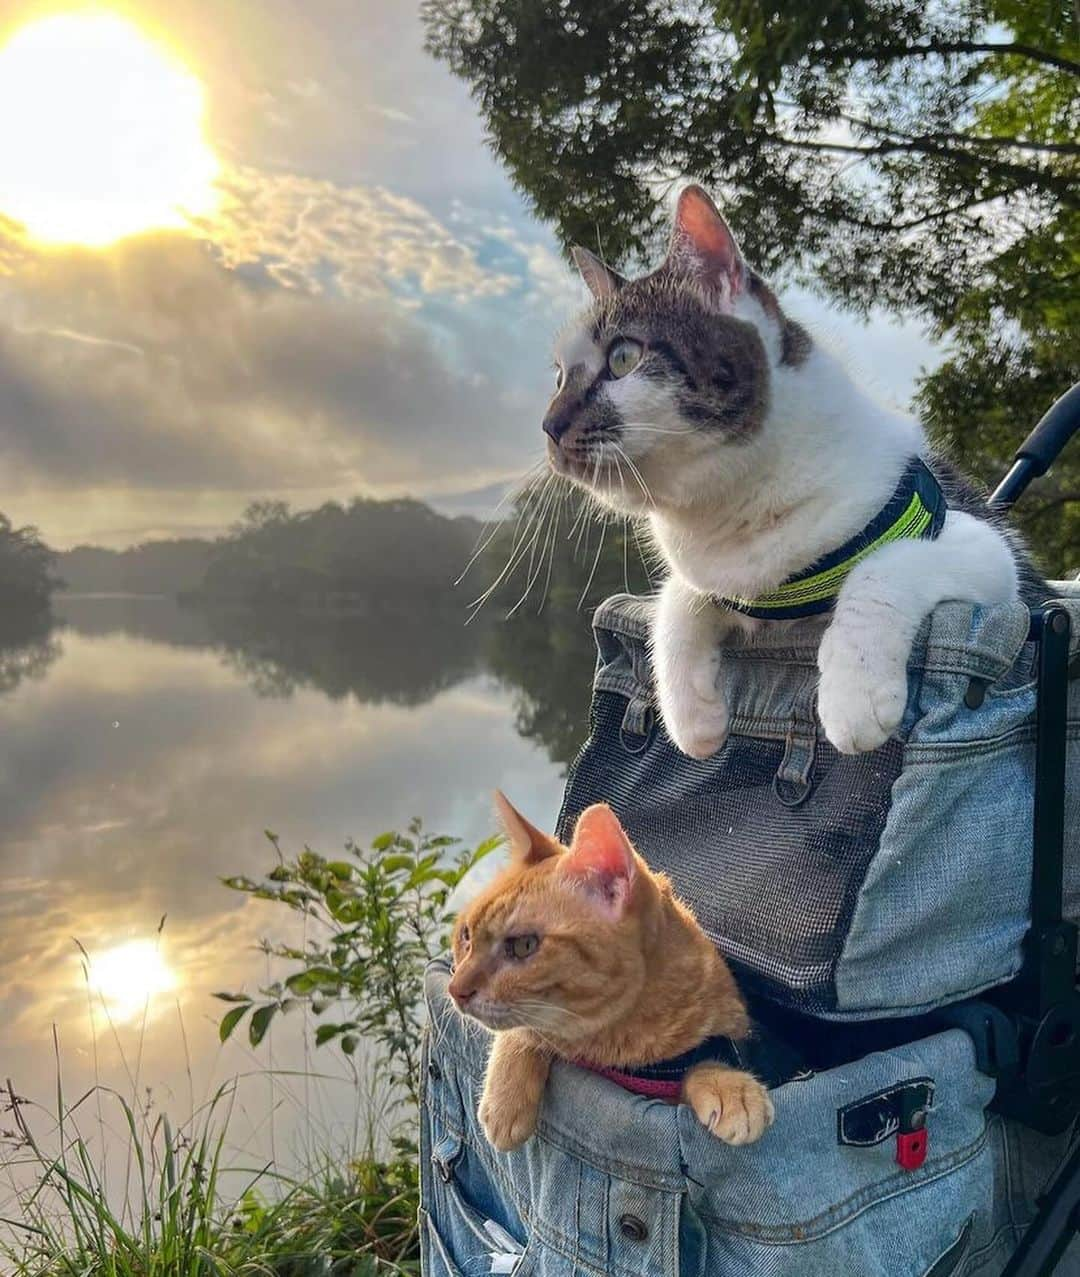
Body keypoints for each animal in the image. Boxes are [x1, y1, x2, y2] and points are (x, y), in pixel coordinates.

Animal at [449, 791, 776, 1154]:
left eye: (523, 946)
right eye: (466, 935)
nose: (455, 989)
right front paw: (505, 1097)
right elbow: (526, 1032)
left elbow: (700, 1065)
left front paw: (730, 1086)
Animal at [546, 185, 1046, 750]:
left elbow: (885, 566)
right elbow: (678, 597)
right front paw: (693, 718)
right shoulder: (709, 574)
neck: (731, 510)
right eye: (558, 376)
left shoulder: (990, 556)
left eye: (623, 357)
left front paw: (854, 698)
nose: (548, 426)